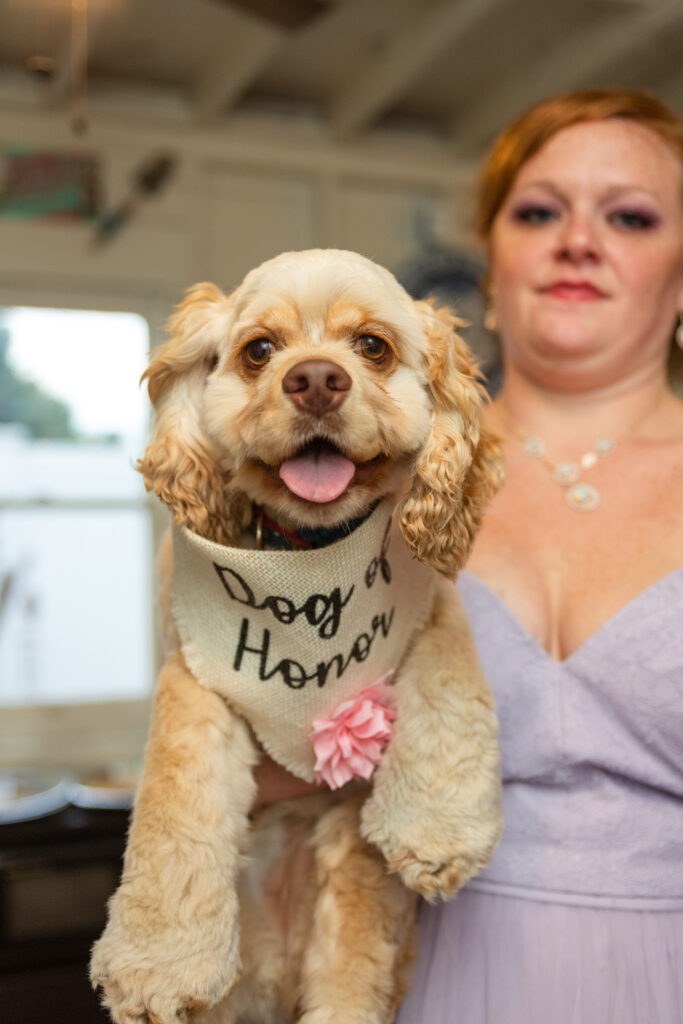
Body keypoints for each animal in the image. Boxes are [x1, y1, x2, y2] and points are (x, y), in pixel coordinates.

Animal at [90, 249, 505, 1024]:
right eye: (259, 350)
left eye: (372, 345)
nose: (314, 379)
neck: (311, 557)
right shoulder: (194, 674)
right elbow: (174, 804)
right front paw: (157, 963)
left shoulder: (430, 601)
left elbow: (450, 678)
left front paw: (437, 827)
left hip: (347, 892)